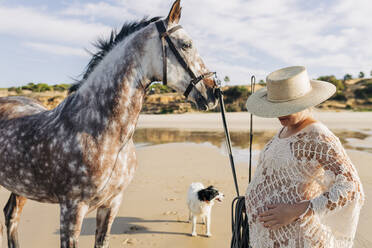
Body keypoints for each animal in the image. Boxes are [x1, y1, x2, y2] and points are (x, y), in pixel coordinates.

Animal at [0, 0, 218, 247]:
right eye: (186, 44)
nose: (214, 92)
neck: (103, 132)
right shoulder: (71, 209)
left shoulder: (111, 204)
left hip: (20, 186)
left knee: (11, 216)